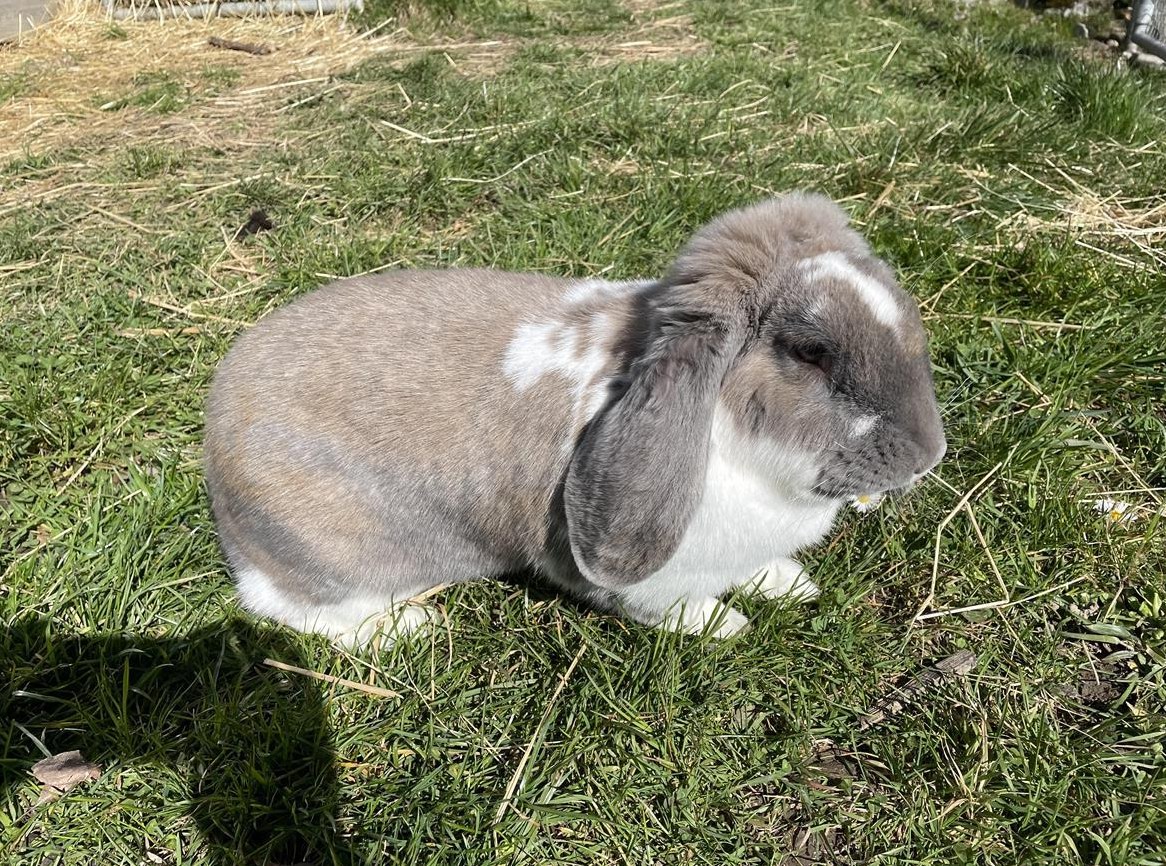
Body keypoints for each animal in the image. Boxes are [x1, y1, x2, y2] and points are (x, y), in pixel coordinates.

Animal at [203, 193, 946, 646]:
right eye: (811, 352)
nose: (929, 454)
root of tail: (216, 439)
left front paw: (793, 585)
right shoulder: (647, 576)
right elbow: (670, 606)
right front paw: (726, 625)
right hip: (335, 557)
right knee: (283, 607)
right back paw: (410, 628)